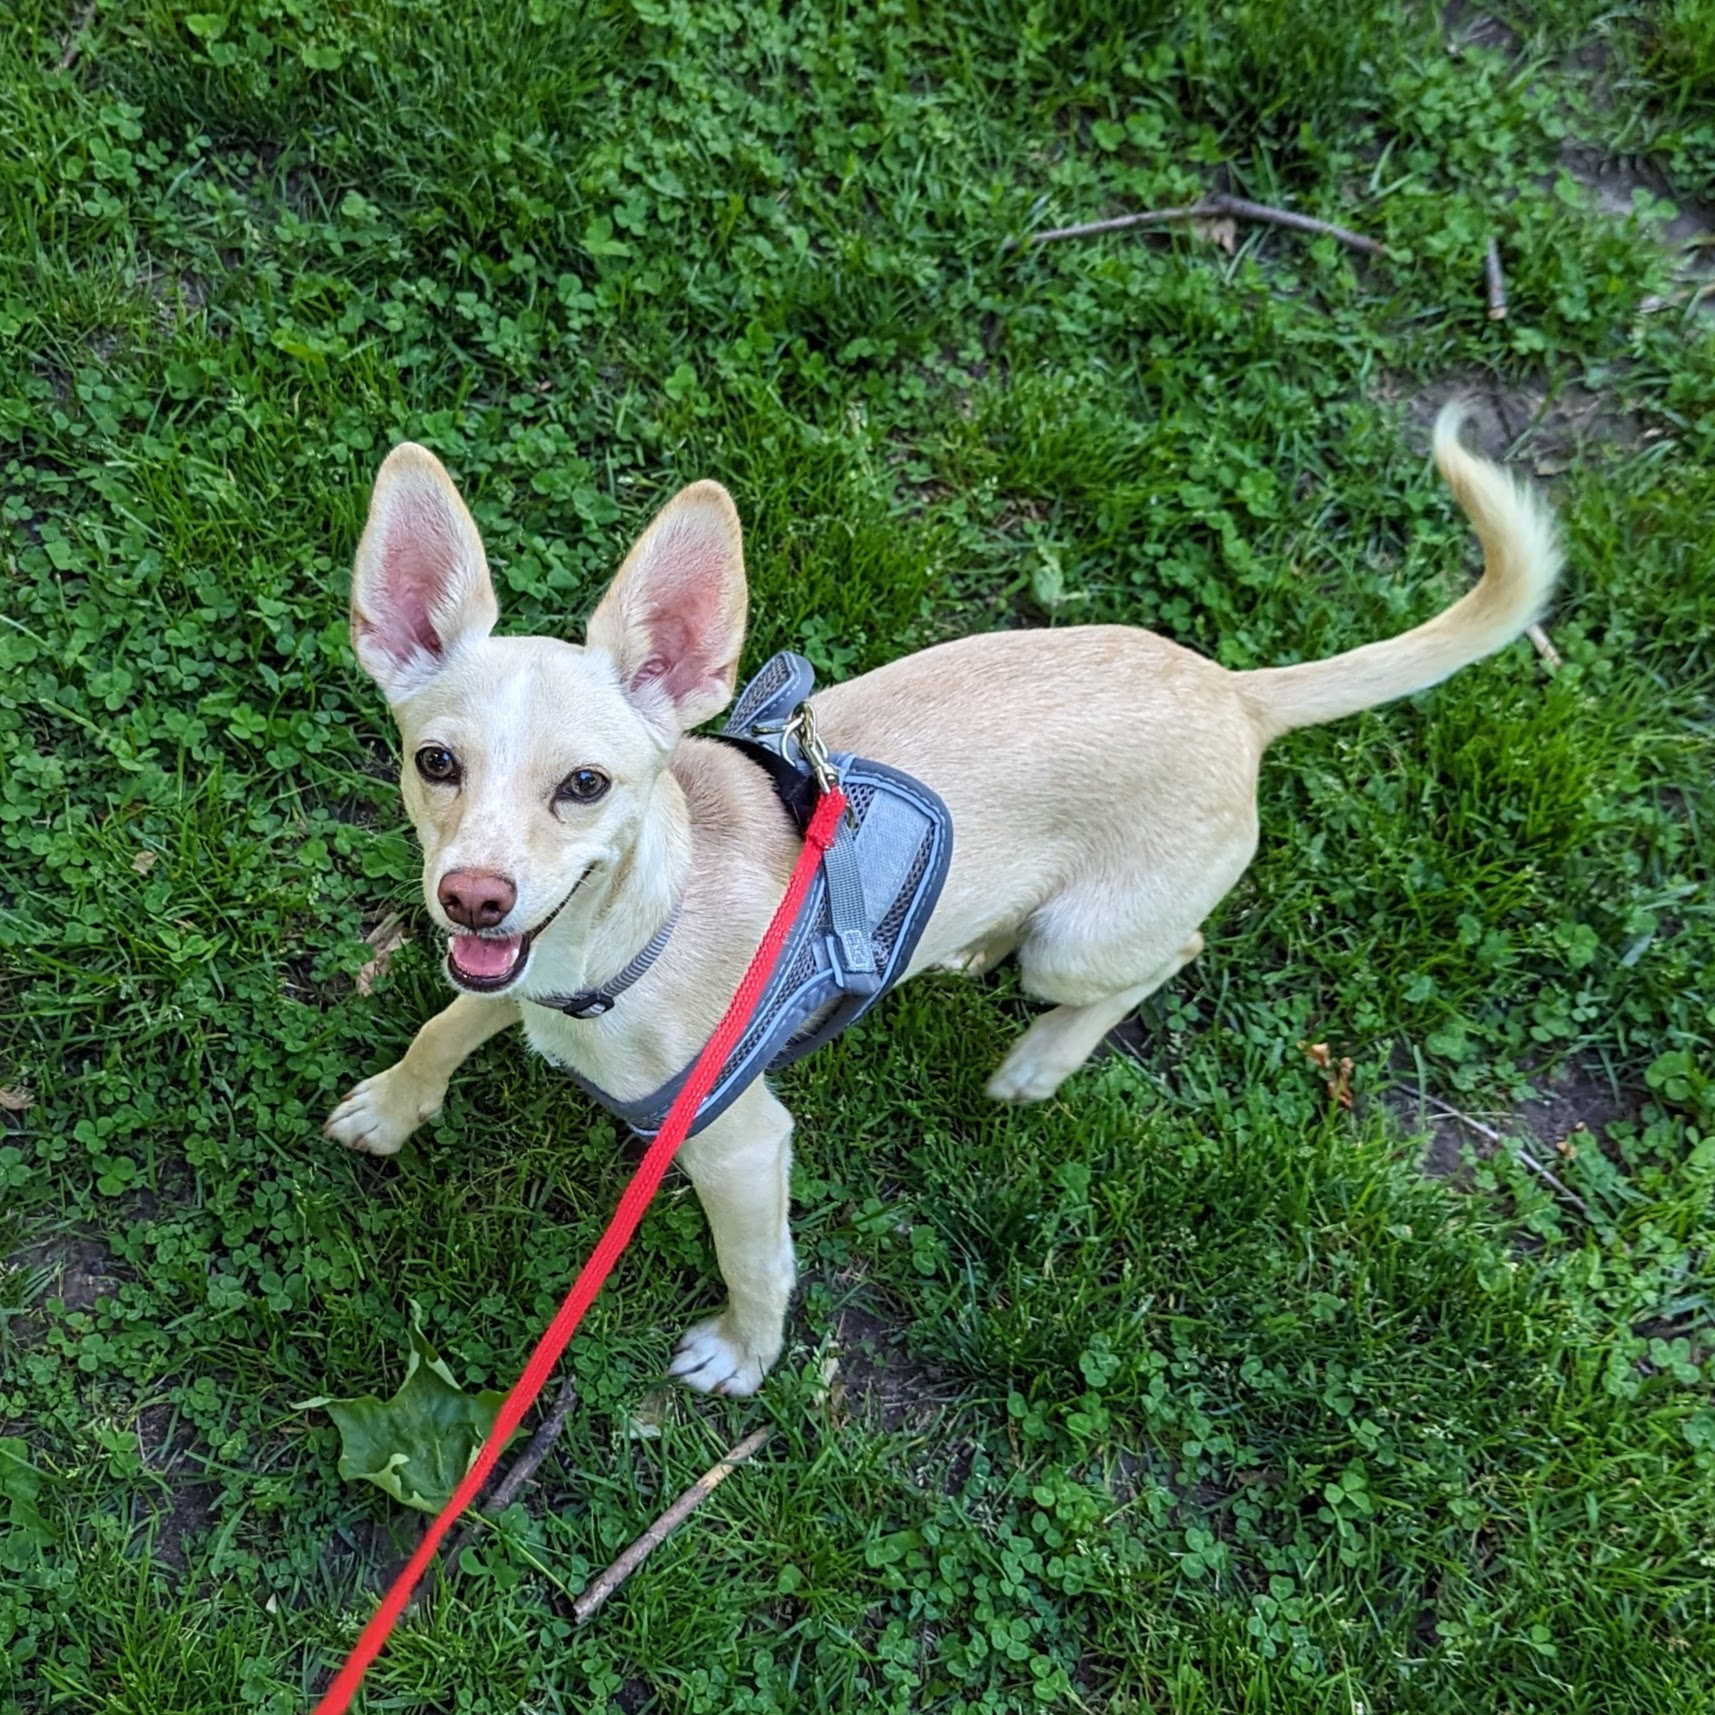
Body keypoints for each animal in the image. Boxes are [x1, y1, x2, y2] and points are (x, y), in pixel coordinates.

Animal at [327, 408, 1564, 1399]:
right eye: (435, 763)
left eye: (584, 785)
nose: (471, 896)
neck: (626, 941)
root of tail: (1234, 691)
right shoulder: (512, 969)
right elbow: (447, 1018)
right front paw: (393, 1104)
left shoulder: (738, 1143)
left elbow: (755, 1261)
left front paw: (742, 1354)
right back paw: (963, 946)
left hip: (1080, 943)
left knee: (1167, 952)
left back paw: (1041, 1058)